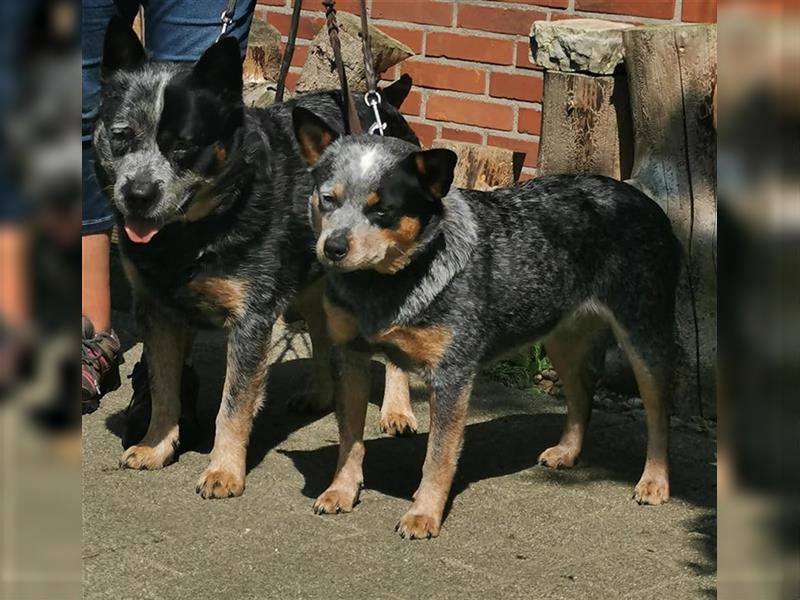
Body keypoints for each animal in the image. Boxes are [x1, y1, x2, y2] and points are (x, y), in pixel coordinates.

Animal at [292, 106, 680, 540]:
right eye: (328, 199)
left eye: (382, 209)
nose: (333, 248)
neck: (390, 282)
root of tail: (640, 198)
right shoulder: (350, 356)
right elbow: (349, 439)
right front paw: (341, 491)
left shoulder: (452, 374)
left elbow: (438, 457)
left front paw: (424, 514)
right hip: (562, 336)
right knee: (582, 395)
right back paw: (568, 451)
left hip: (643, 333)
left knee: (658, 411)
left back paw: (655, 481)